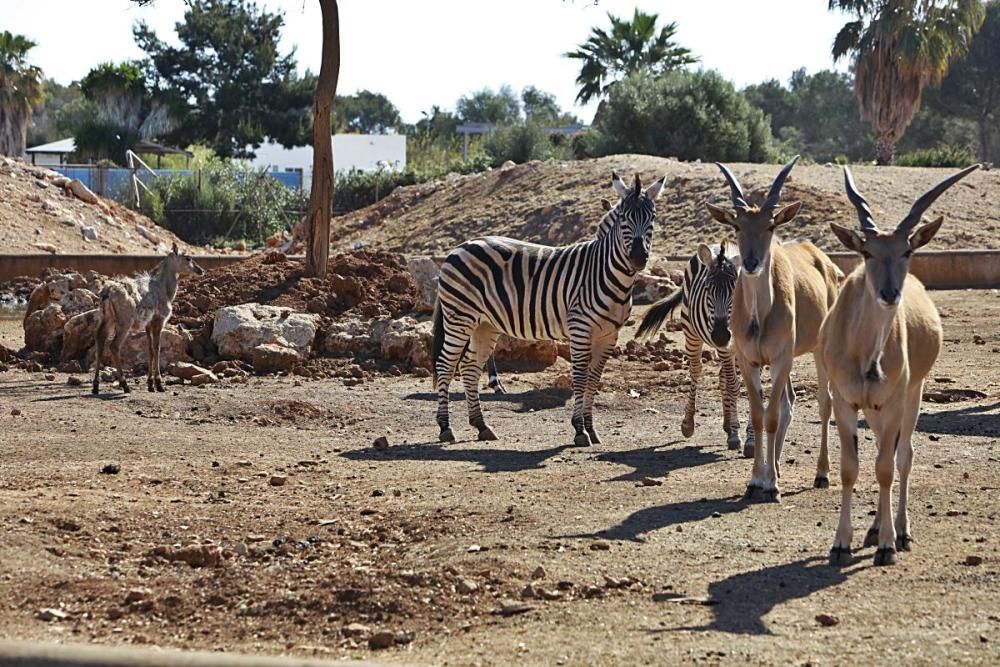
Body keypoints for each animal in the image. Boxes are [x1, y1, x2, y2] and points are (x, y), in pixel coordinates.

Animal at [93, 243, 204, 394]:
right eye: (188, 258)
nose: (201, 270)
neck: (165, 290)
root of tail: (107, 293)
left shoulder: (148, 323)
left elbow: (150, 349)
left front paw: (150, 384)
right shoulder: (159, 320)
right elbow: (157, 348)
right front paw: (159, 384)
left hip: (107, 319)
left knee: (99, 341)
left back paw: (95, 386)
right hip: (124, 322)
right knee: (114, 346)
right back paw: (125, 385)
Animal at [434, 172, 668, 446]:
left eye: (652, 217)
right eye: (623, 218)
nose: (639, 258)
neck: (606, 273)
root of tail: (460, 246)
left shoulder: (609, 335)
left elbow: (593, 379)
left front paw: (591, 428)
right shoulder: (580, 328)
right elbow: (580, 378)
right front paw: (579, 430)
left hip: (485, 324)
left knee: (469, 367)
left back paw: (482, 426)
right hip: (459, 317)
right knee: (445, 365)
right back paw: (445, 427)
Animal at [636, 243, 752, 456]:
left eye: (736, 290)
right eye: (707, 290)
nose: (721, 336)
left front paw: (750, 438)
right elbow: (733, 386)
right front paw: (735, 435)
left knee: (722, 376)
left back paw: (726, 424)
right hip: (692, 333)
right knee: (696, 371)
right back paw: (689, 424)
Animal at [704, 157, 844, 500]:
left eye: (770, 226)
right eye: (737, 225)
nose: (752, 263)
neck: (759, 316)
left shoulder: (781, 359)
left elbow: (771, 417)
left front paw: (771, 485)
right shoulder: (749, 360)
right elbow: (760, 415)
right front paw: (757, 480)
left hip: (819, 351)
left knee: (824, 403)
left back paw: (821, 474)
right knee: (788, 403)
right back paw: (776, 467)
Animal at [820, 164, 984, 568]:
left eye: (906, 249)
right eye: (866, 251)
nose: (889, 294)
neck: (866, 355)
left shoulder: (895, 400)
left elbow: (886, 467)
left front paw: (888, 547)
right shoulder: (846, 402)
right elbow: (850, 468)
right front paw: (841, 543)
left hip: (913, 393)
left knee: (903, 455)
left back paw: (901, 531)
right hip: (875, 408)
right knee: (887, 449)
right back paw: (875, 528)